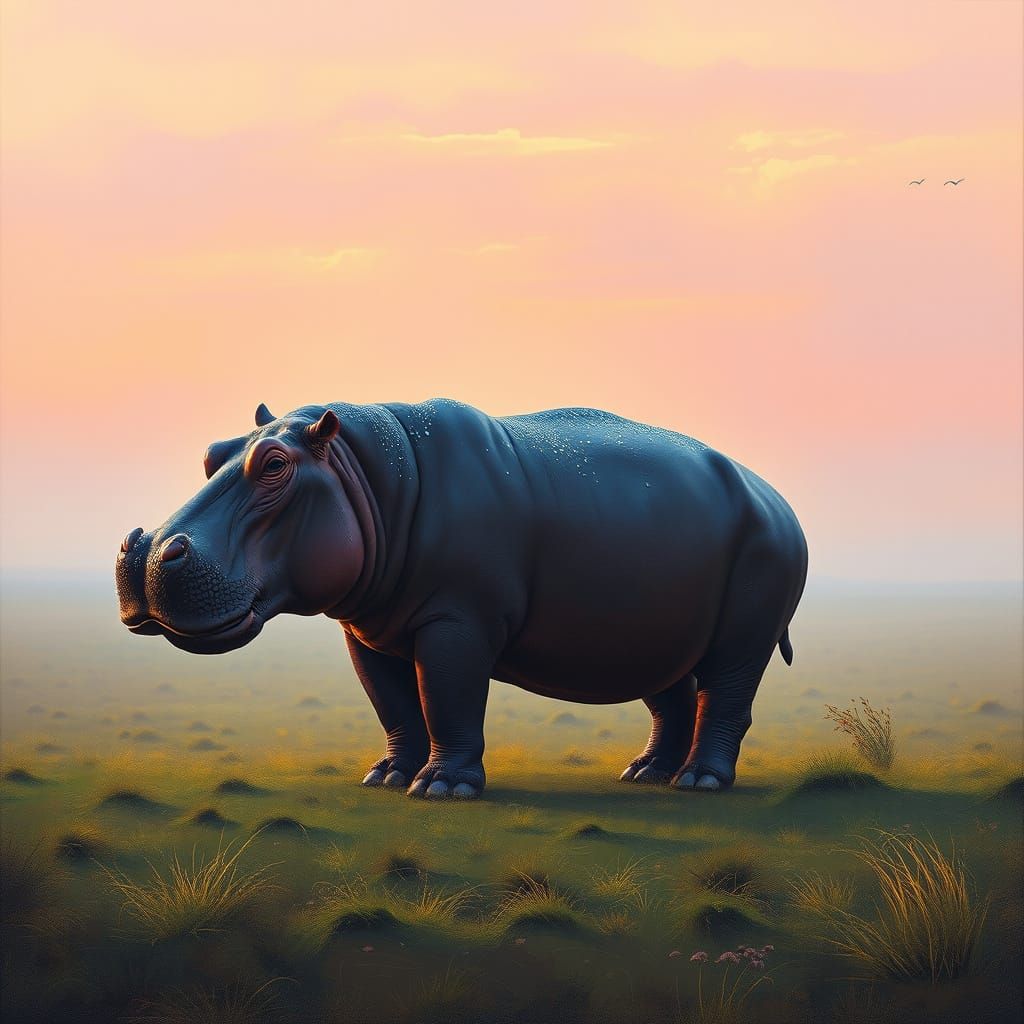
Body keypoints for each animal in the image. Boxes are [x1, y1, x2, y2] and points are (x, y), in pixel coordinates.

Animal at [116, 400, 807, 799]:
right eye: (212, 454)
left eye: (275, 465)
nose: (148, 554)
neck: (359, 471)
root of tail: (774, 495)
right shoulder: (365, 629)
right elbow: (393, 705)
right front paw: (387, 779)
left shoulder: (457, 620)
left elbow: (446, 697)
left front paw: (441, 790)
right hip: (650, 628)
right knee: (669, 692)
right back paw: (645, 775)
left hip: (755, 593)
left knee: (728, 689)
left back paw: (701, 783)